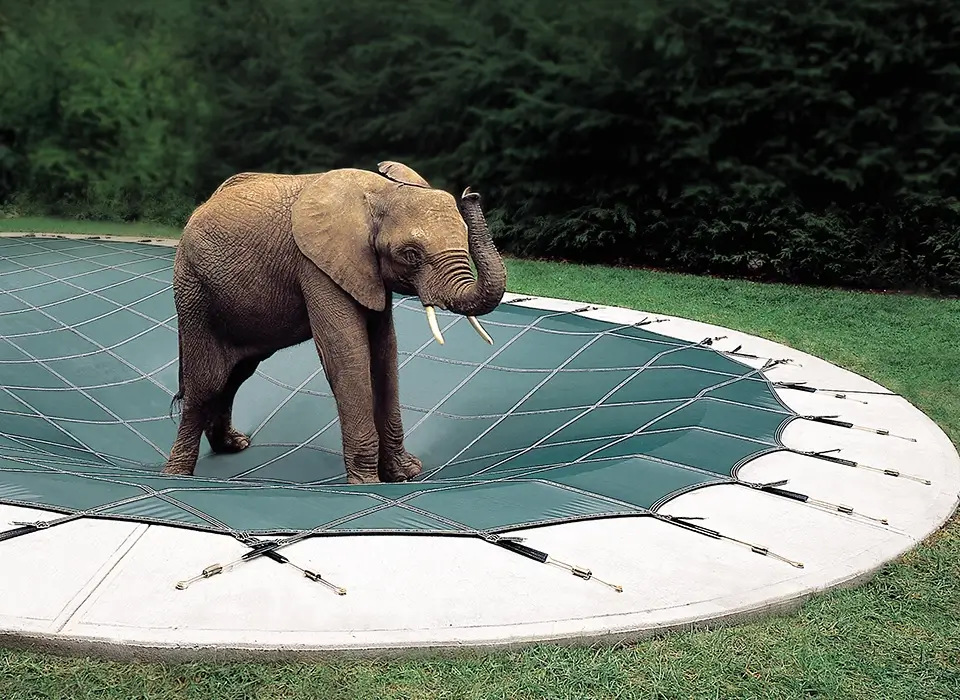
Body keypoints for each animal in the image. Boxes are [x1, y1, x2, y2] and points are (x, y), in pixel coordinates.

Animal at [161, 160, 507, 484]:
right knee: (207, 381)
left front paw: (405, 474)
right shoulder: (317, 266)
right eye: (411, 254)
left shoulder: (365, 272)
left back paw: (234, 445)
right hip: (194, 290)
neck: (381, 192)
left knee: (235, 374)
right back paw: (176, 474)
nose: (471, 193)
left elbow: (385, 354)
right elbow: (348, 356)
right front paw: (368, 483)